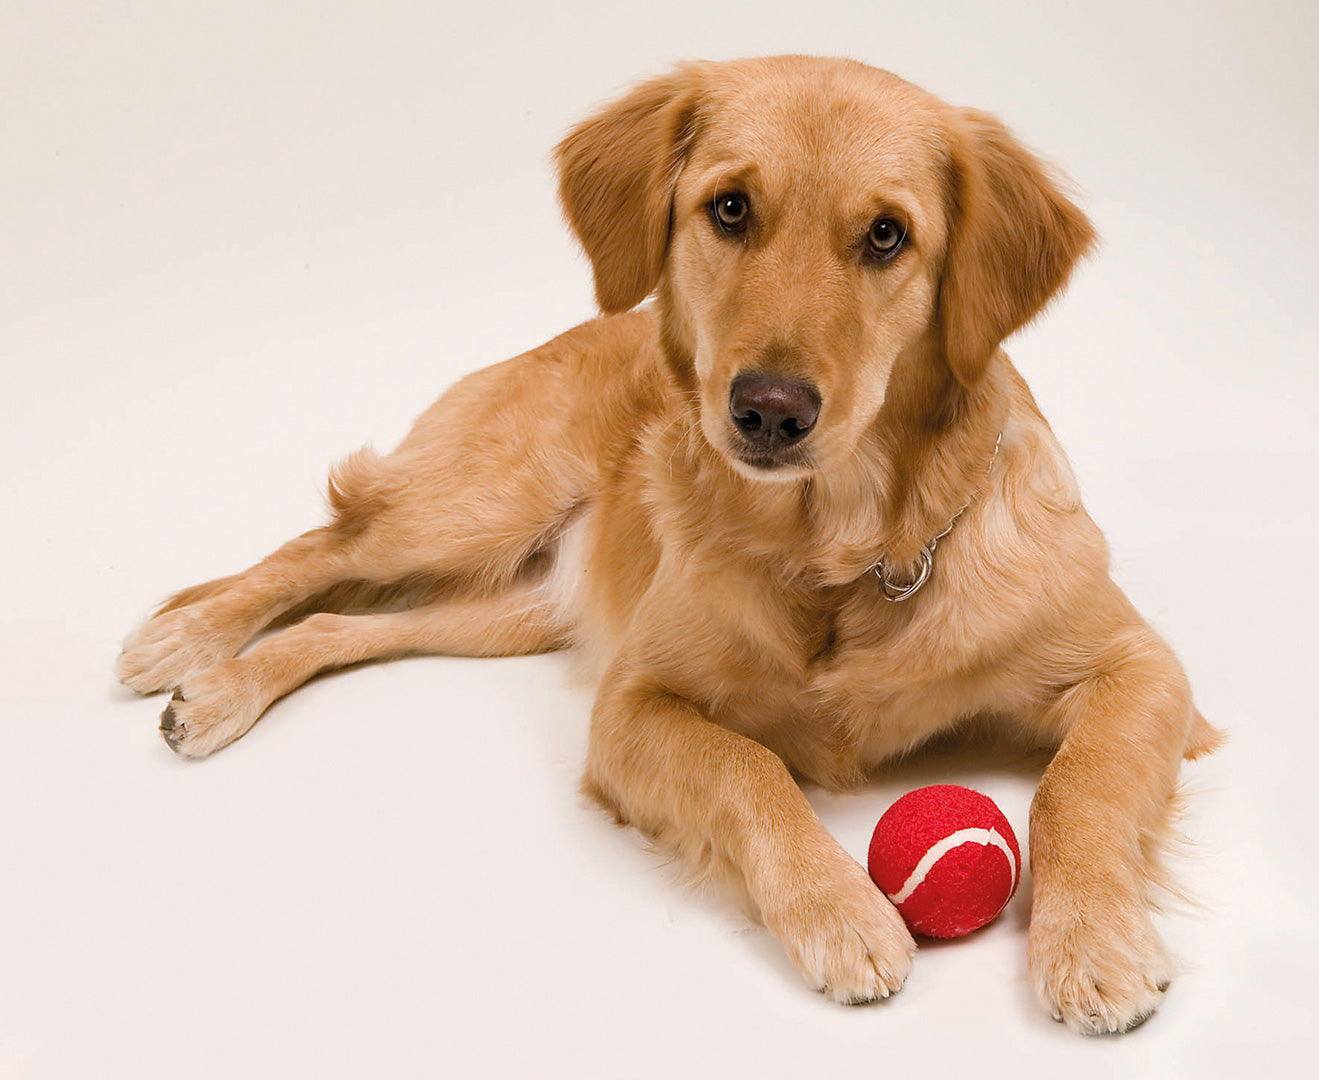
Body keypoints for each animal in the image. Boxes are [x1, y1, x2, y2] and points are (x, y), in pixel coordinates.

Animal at [118, 59, 1218, 1039]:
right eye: (728, 209)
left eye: (886, 235)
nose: (767, 409)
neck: (849, 552)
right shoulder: (632, 706)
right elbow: (749, 769)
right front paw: (839, 911)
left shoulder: (1139, 667)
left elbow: (1079, 786)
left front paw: (1092, 942)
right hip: (472, 506)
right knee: (323, 545)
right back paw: (185, 644)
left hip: (509, 608)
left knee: (344, 625)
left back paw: (217, 690)